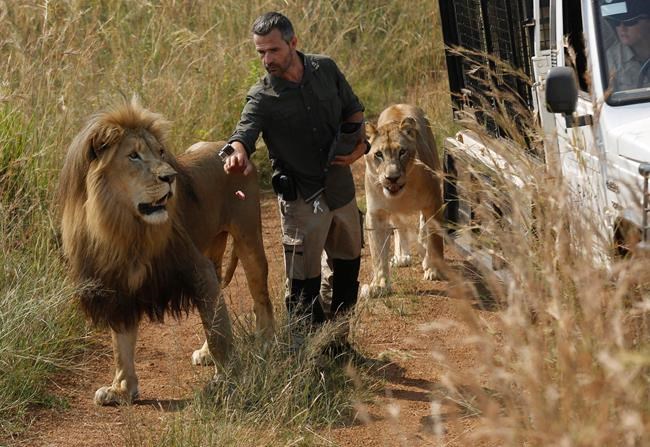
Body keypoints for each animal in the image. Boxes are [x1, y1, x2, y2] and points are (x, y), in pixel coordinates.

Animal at [57, 98, 274, 405]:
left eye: (160, 152)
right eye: (133, 156)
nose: (170, 177)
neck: (125, 228)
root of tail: (229, 147)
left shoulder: (194, 267)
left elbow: (219, 330)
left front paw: (227, 380)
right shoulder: (118, 284)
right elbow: (121, 342)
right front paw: (121, 389)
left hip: (248, 237)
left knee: (259, 298)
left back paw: (267, 343)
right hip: (212, 250)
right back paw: (206, 353)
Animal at [362, 104, 444, 297]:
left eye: (402, 152)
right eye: (378, 154)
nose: (392, 178)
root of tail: (398, 104)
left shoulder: (434, 202)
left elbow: (435, 238)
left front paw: (435, 270)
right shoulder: (376, 214)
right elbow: (378, 253)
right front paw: (379, 285)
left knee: (423, 227)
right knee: (399, 227)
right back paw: (401, 257)